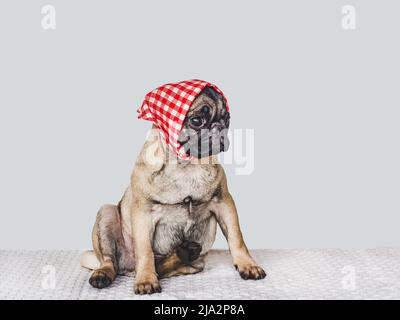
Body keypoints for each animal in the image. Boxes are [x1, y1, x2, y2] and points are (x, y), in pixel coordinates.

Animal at [80, 85, 266, 296]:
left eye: (227, 119)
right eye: (196, 120)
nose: (219, 128)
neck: (185, 166)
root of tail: (127, 269)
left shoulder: (224, 203)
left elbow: (236, 238)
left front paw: (247, 265)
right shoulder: (143, 214)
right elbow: (144, 251)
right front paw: (146, 280)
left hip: (199, 257)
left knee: (166, 266)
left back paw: (185, 251)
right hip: (107, 213)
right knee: (111, 260)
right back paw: (104, 274)